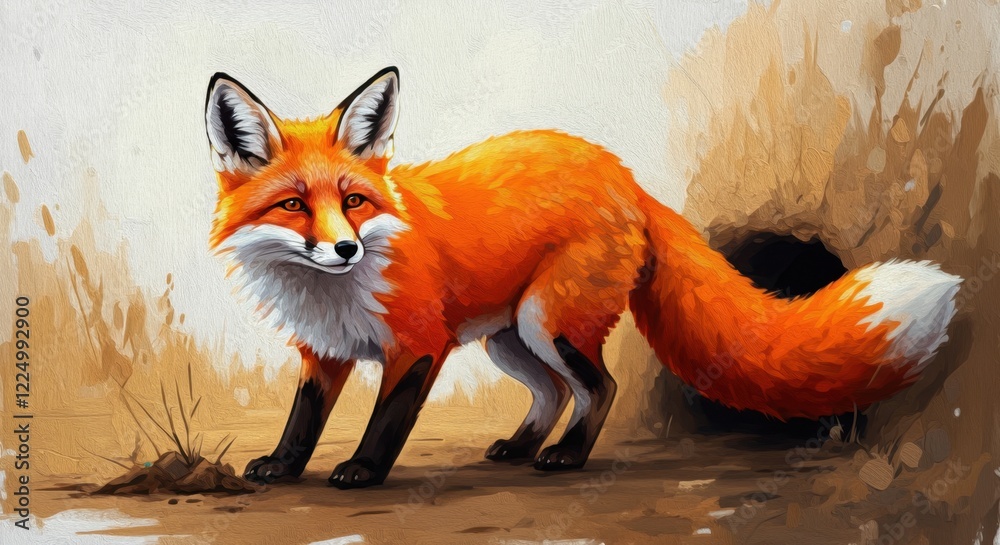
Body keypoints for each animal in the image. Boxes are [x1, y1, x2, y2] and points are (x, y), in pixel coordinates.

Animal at [204, 67, 962, 489]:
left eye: (354, 199)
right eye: (294, 204)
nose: (344, 249)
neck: (338, 291)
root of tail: (625, 176)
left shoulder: (419, 343)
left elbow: (387, 420)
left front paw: (363, 471)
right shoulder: (325, 350)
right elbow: (302, 421)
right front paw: (283, 467)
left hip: (546, 322)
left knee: (600, 387)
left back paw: (566, 455)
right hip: (509, 339)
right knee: (554, 390)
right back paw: (522, 446)